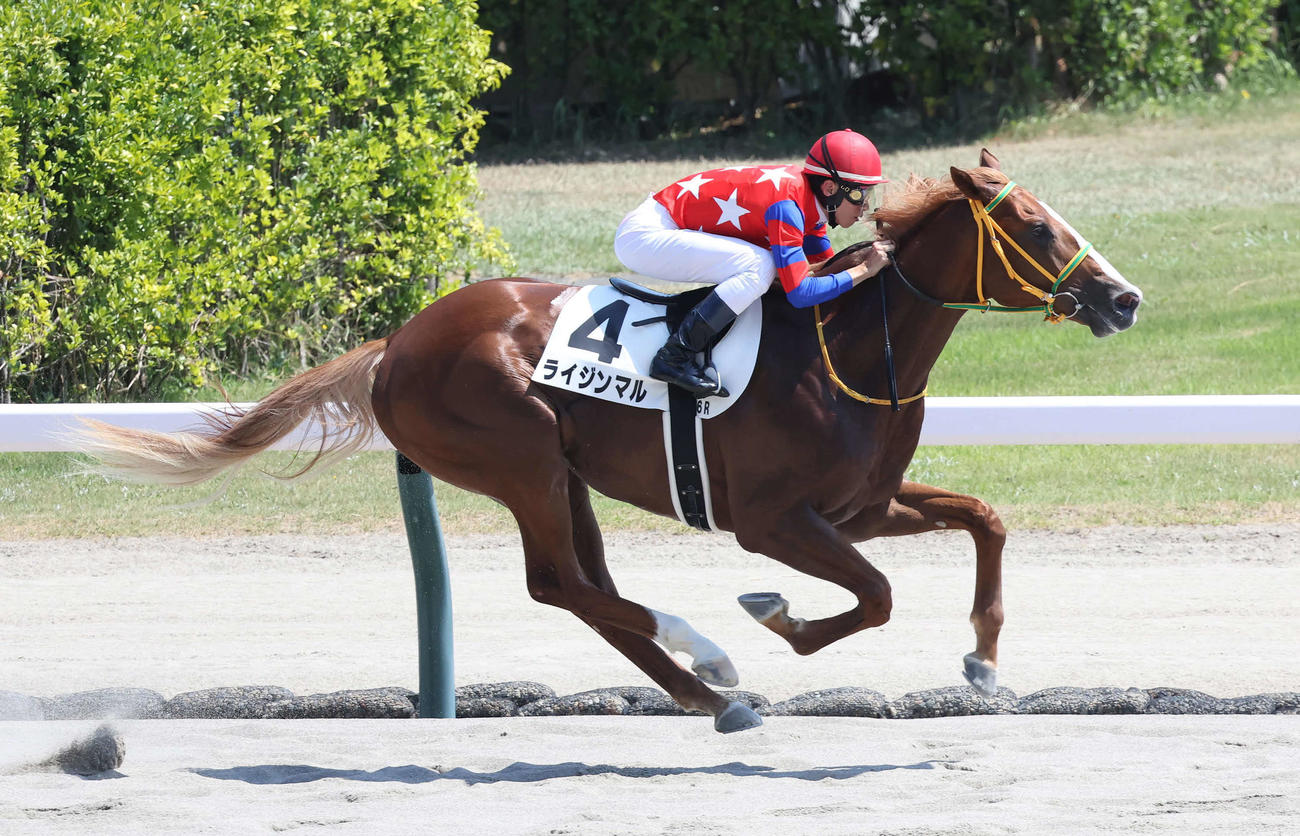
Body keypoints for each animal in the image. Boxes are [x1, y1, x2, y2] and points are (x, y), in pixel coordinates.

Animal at [79, 149, 1142, 733]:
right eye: (1036, 228)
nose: (1124, 297)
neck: (850, 347)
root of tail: (396, 344)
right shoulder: (773, 521)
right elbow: (872, 598)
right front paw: (776, 619)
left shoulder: (860, 505)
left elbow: (985, 519)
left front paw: (984, 659)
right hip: (521, 460)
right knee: (562, 586)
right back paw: (713, 662)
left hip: (565, 474)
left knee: (587, 589)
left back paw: (709, 692)